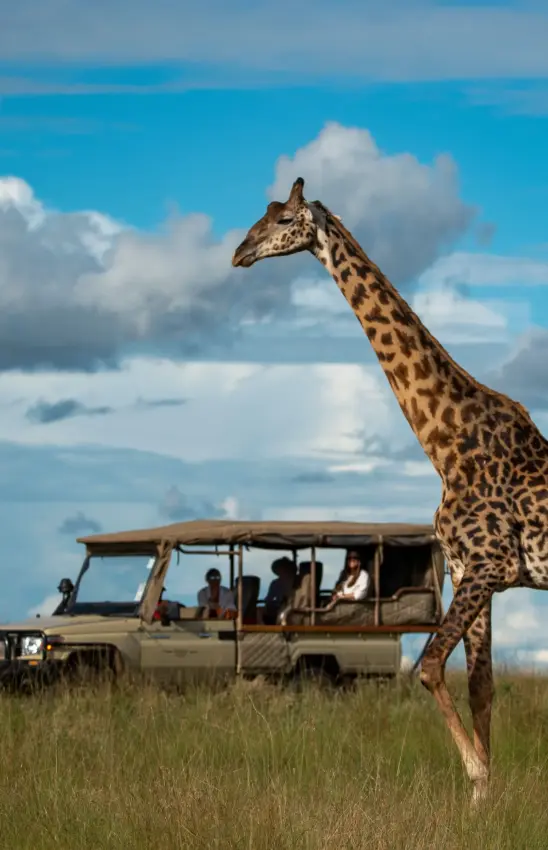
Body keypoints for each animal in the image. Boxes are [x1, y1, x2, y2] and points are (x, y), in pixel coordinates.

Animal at [232, 177, 548, 804]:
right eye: (263, 213)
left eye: (283, 219)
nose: (239, 252)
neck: (444, 444)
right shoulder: (471, 570)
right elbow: (481, 686)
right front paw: (483, 802)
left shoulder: (489, 566)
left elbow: (427, 668)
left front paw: (476, 778)